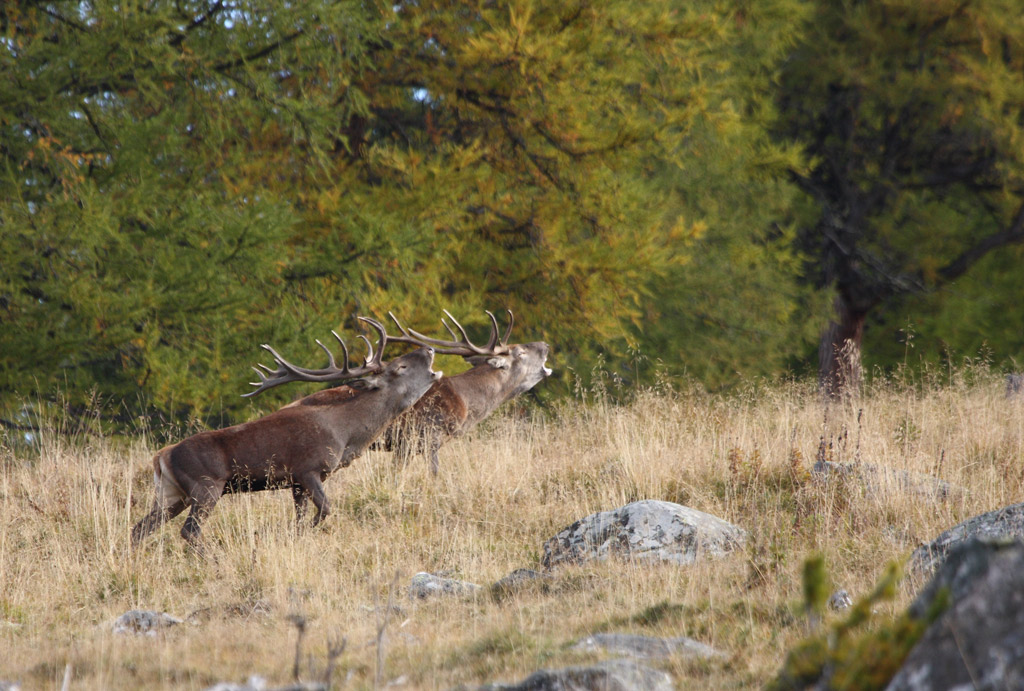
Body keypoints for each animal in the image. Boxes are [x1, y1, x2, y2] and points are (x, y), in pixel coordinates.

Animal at [130, 317, 442, 548]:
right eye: (400, 366)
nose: (429, 350)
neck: (346, 434)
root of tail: (161, 457)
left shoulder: (296, 483)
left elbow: (302, 519)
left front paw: (296, 536)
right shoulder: (307, 468)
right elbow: (326, 509)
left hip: (174, 493)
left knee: (140, 528)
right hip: (205, 486)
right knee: (189, 531)